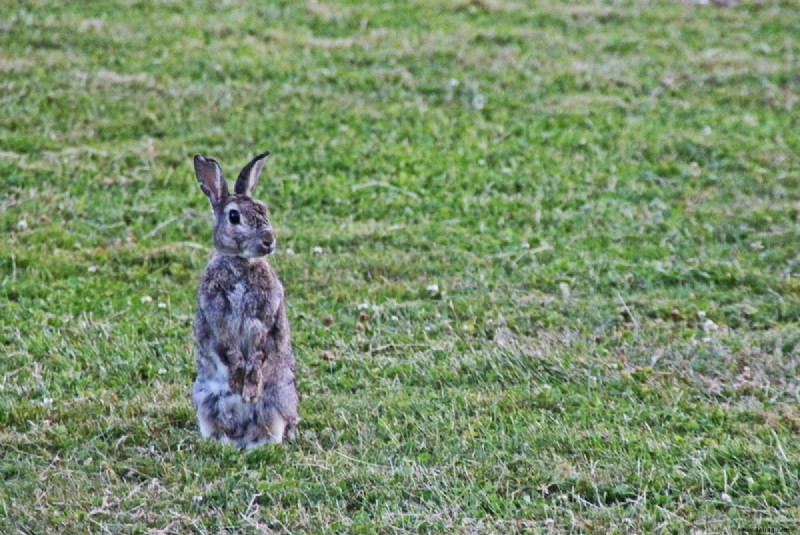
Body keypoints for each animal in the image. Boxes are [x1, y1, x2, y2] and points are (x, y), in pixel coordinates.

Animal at [191, 152, 300, 448]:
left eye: (264, 210)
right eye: (234, 216)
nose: (268, 241)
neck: (240, 264)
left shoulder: (265, 320)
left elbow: (259, 354)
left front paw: (249, 389)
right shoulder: (218, 322)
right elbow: (230, 351)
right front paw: (237, 382)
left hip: (278, 400)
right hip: (204, 399)